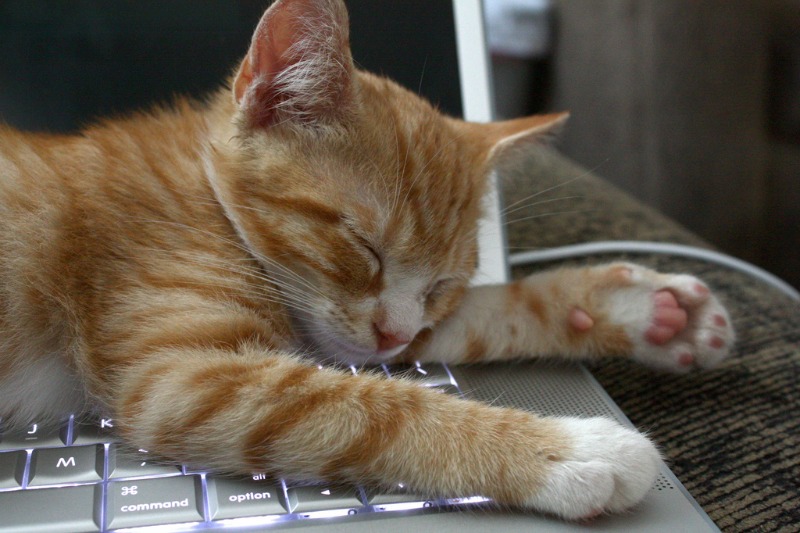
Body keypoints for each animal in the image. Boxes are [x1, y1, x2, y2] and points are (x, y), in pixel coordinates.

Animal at [0, 0, 736, 520]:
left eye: (442, 283)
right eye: (364, 248)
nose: (391, 335)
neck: (203, 190)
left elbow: (484, 316)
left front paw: (652, 312)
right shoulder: (184, 380)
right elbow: (379, 408)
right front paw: (570, 451)